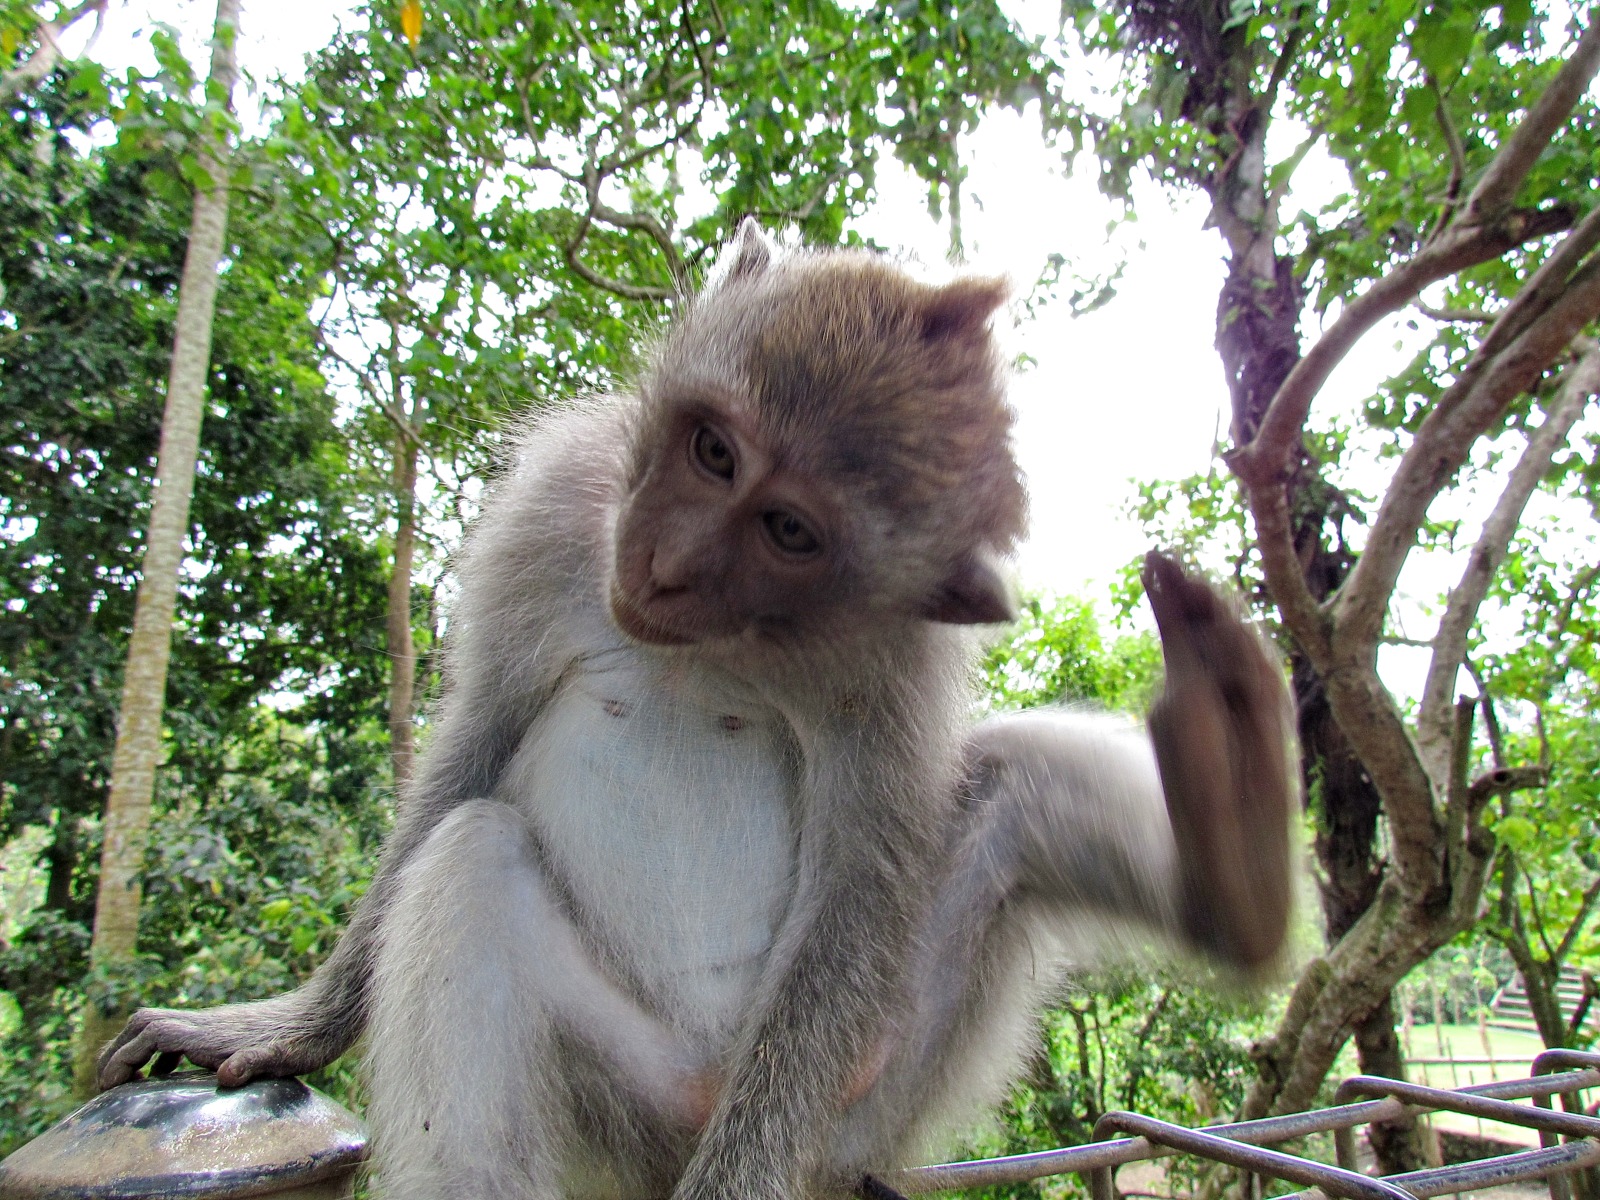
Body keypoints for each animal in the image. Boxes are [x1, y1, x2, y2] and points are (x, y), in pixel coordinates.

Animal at [98, 220, 1295, 1200]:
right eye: (714, 450)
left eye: (788, 531)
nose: (665, 567)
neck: (718, 641)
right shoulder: (559, 507)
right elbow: (478, 744)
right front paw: (293, 1029)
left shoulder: (896, 656)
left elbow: (861, 878)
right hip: (630, 1096)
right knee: (472, 860)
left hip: (861, 1103)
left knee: (1006, 790)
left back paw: (1235, 856)